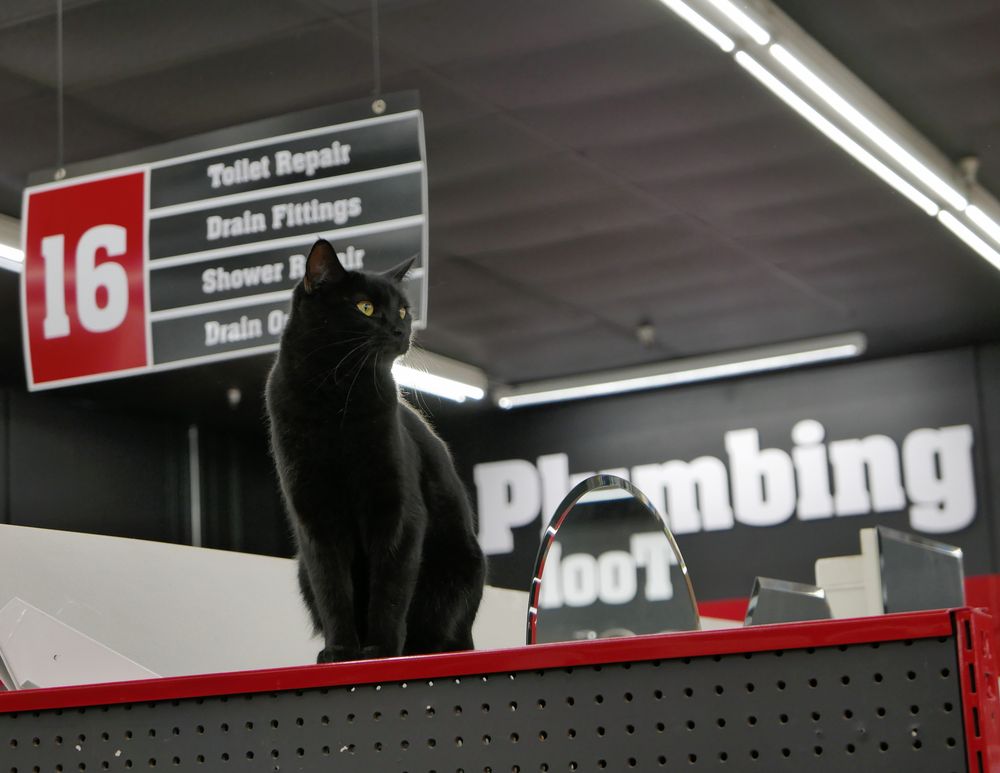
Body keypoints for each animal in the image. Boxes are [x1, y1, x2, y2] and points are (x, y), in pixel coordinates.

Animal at [265, 239, 486, 663]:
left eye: (402, 310)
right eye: (365, 308)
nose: (401, 329)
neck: (335, 398)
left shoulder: (398, 513)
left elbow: (390, 588)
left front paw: (381, 650)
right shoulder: (315, 518)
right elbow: (333, 589)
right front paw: (341, 651)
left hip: (460, 568)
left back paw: (420, 649)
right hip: (301, 569)